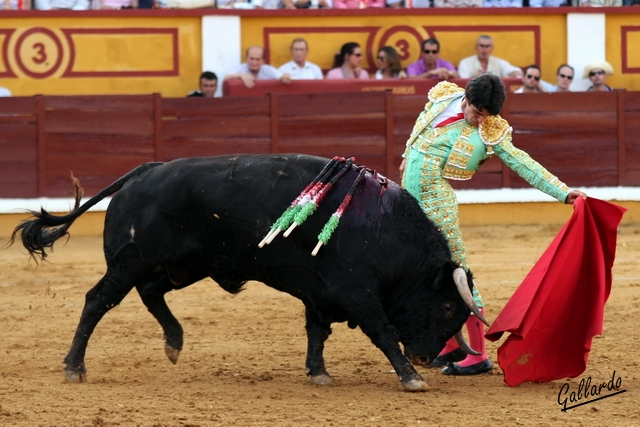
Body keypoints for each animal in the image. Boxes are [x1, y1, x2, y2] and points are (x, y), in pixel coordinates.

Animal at [10, 155, 484, 392]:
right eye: (447, 307)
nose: (430, 356)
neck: (384, 230)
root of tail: (144, 171)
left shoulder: (320, 292)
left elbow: (317, 331)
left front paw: (318, 373)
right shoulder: (356, 290)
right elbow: (382, 331)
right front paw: (411, 378)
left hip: (186, 265)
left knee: (150, 292)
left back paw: (174, 342)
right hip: (131, 261)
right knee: (98, 300)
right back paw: (75, 367)